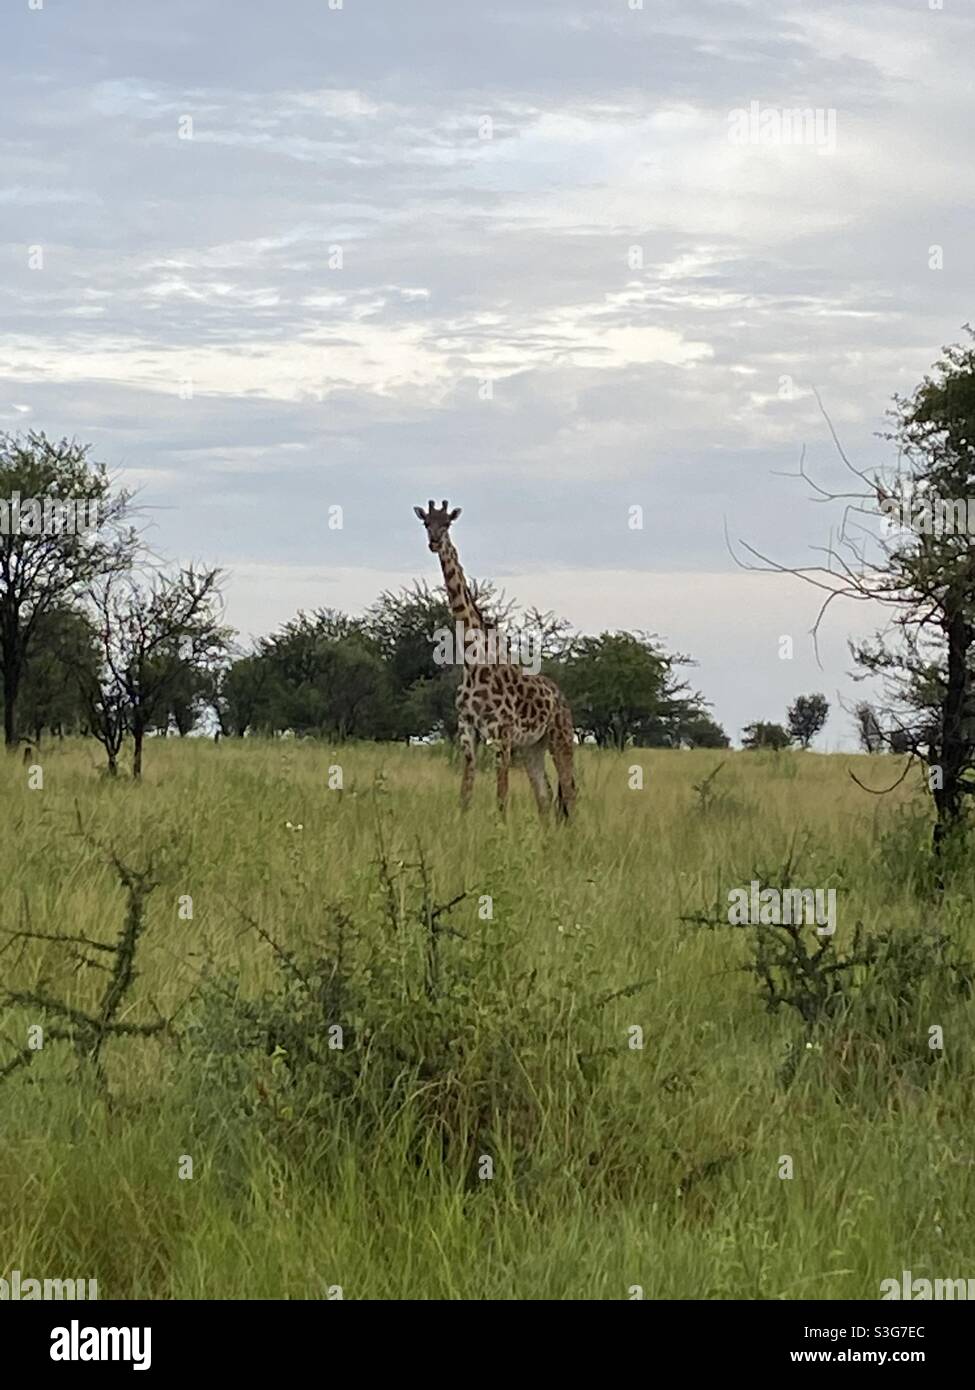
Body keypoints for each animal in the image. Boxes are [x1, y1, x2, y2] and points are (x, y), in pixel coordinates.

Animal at [411, 500, 578, 817]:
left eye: (447, 523)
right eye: (426, 522)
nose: (434, 542)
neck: (472, 659)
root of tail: (561, 696)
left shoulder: (502, 734)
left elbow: (501, 799)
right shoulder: (467, 731)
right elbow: (465, 796)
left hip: (560, 737)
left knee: (570, 790)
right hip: (533, 746)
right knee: (545, 795)